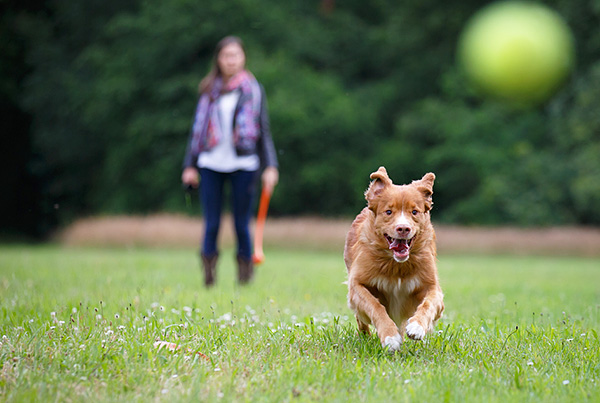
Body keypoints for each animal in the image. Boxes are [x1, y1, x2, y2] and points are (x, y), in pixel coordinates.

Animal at [344, 166, 442, 352]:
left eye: (414, 212)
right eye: (388, 212)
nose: (403, 228)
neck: (396, 265)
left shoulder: (432, 286)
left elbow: (429, 304)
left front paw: (417, 326)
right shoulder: (357, 284)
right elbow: (375, 305)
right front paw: (390, 337)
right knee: (361, 320)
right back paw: (365, 337)